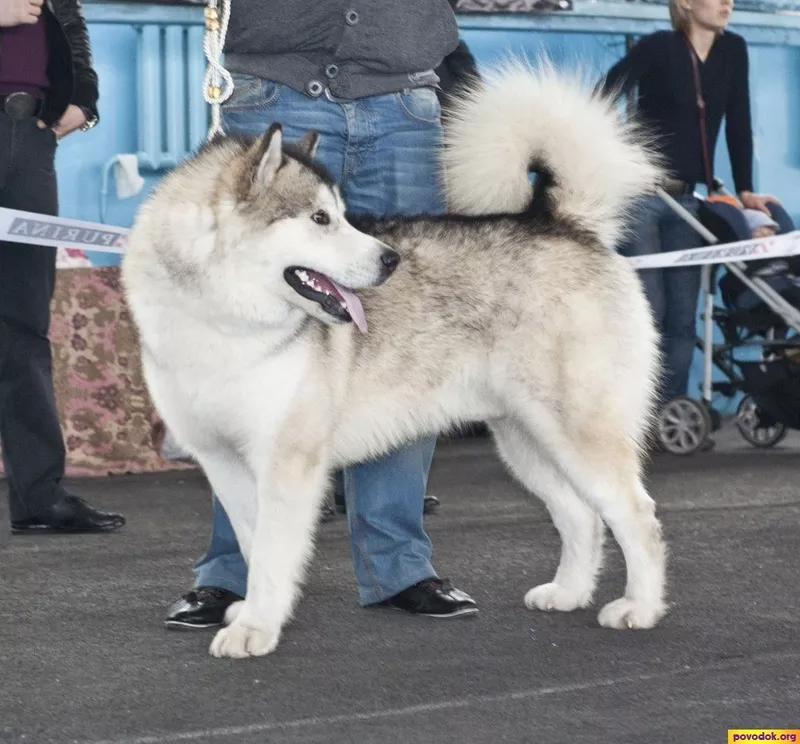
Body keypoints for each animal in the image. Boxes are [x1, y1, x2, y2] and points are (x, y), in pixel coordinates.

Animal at [122, 62, 664, 656]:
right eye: (320, 218)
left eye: (341, 215)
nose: (390, 260)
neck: (222, 319)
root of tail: (567, 225)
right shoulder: (222, 461)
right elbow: (248, 542)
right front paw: (247, 613)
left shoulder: (286, 462)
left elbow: (269, 555)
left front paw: (256, 629)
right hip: (524, 439)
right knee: (581, 516)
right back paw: (567, 593)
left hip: (576, 432)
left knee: (637, 516)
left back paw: (639, 608)